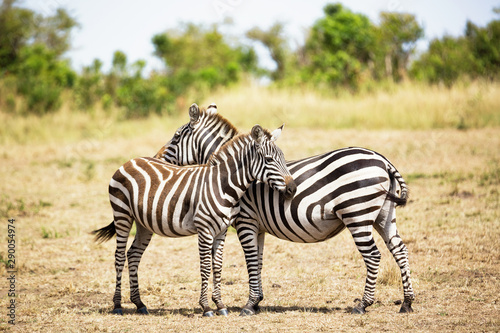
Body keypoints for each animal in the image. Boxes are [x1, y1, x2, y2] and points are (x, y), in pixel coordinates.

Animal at [92, 110, 296, 316]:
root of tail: (131, 161)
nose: (292, 189)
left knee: (133, 254)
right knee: (119, 256)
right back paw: (117, 305)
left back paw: (139, 303)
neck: (222, 185)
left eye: (283, 158)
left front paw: (220, 305)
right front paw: (206, 307)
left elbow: (217, 266)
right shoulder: (204, 229)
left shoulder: (222, 230)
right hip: (122, 214)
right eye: (269, 160)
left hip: (143, 222)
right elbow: (205, 267)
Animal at [155, 103, 414, 314]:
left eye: (176, 136)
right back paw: (407, 302)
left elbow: (250, 260)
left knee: (373, 255)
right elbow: (258, 260)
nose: (156, 158)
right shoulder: (258, 226)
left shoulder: (246, 221)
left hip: (357, 215)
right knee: (399, 250)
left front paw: (249, 305)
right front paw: (257, 302)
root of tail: (382, 159)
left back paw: (363, 305)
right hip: (384, 215)